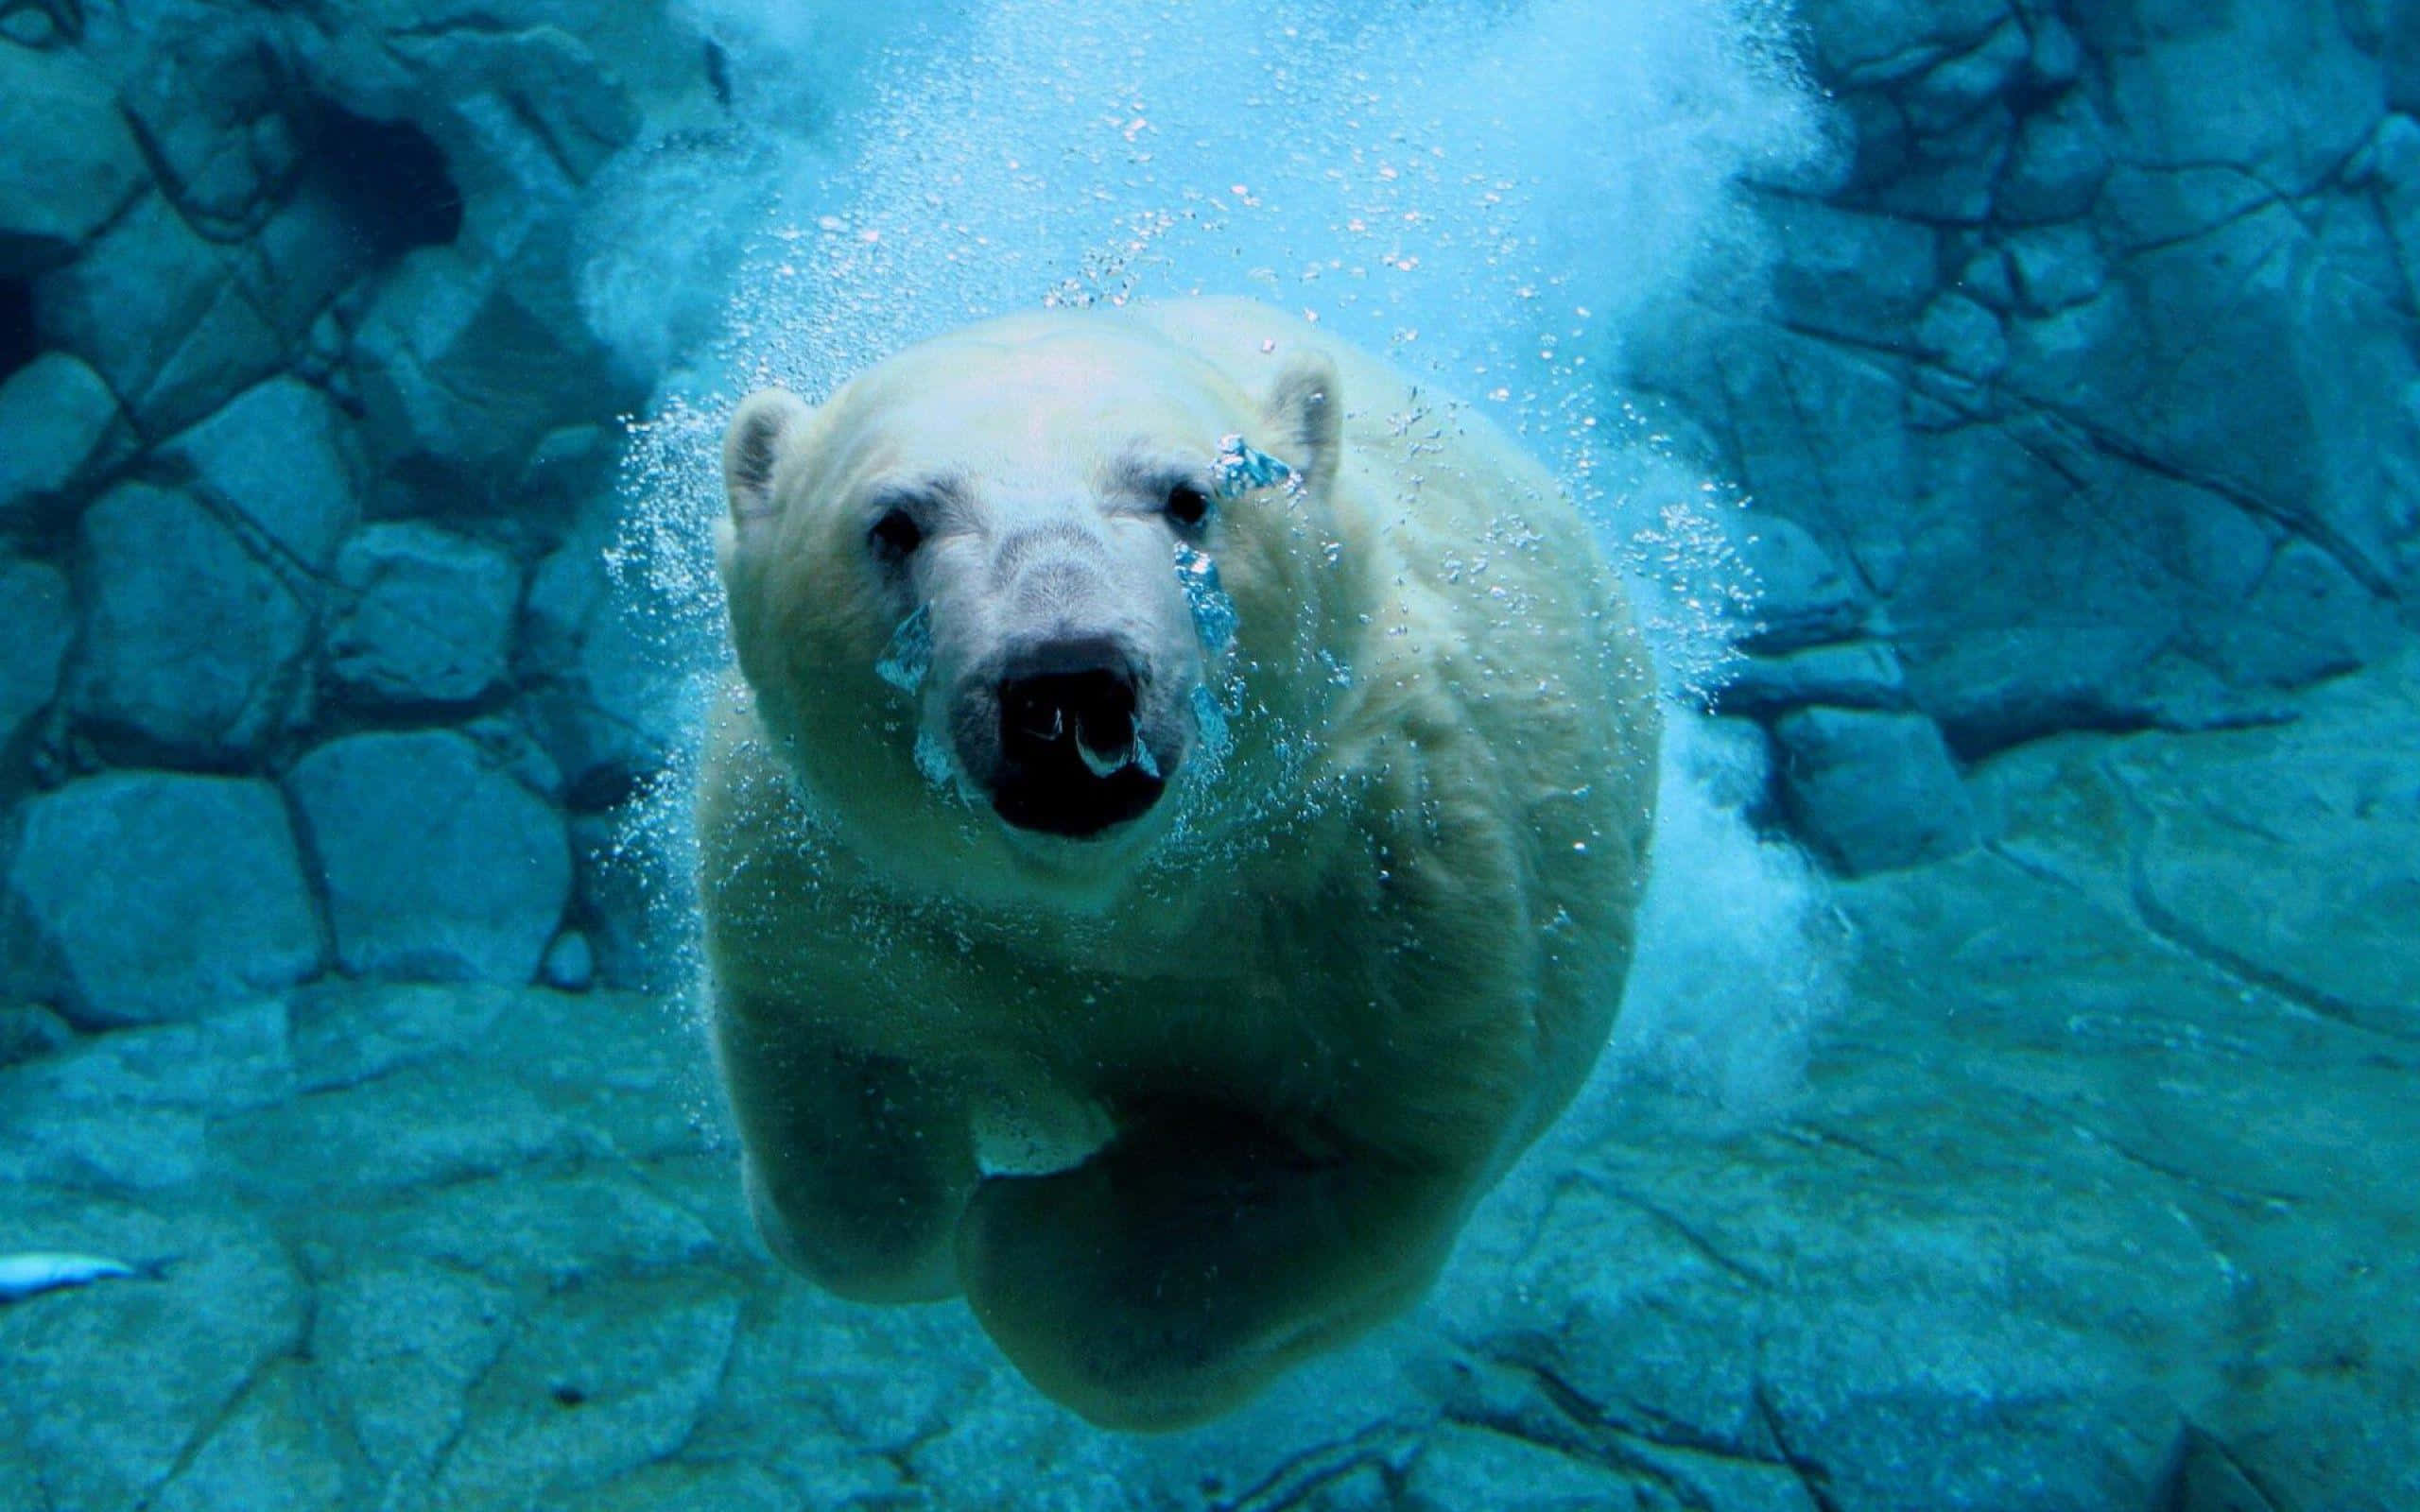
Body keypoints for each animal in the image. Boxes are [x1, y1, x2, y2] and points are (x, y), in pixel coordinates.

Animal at [701, 296, 1659, 1431]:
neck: (1108, 901)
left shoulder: (1386, 892)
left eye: (1190, 497)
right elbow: (837, 1098)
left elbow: (1348, 1161)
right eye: (894, 522)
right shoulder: (838, 879)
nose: (1065, 682)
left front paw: (1024, 1230)